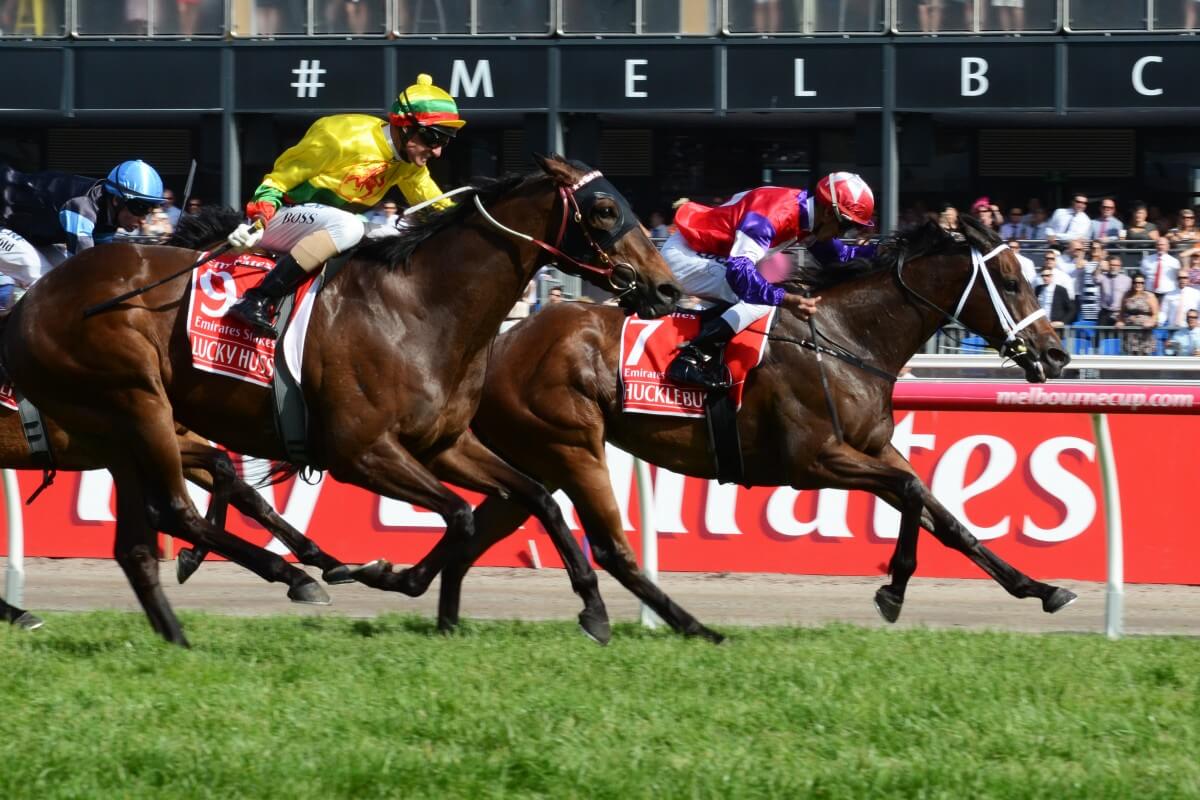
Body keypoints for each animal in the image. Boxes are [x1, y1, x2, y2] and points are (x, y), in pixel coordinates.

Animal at [0, 154, 681, 642]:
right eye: (602, 208)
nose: (667, 289)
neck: (421, 307)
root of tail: (29, 307)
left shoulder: (444, 444)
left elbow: (538, 498)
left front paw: (593, 610)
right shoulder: (363, 452)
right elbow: (461, 517)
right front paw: (387, 574)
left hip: (124, 428)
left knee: (152, 531)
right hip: (137, 401)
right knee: (175, 509)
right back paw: (284, 574)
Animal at [444, 212, 1080, 638]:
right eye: (1012, 282)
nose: (1056, 356)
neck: (846, 340)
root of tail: (500, 342)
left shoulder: (874, 448)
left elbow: (937, 511)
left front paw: (1040, 588)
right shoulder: (814, 460)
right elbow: (910, 490)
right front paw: (893, 590)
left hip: (538, 453)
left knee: (489, 518)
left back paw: (434, 602)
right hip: (569, 445)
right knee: (595, 540)